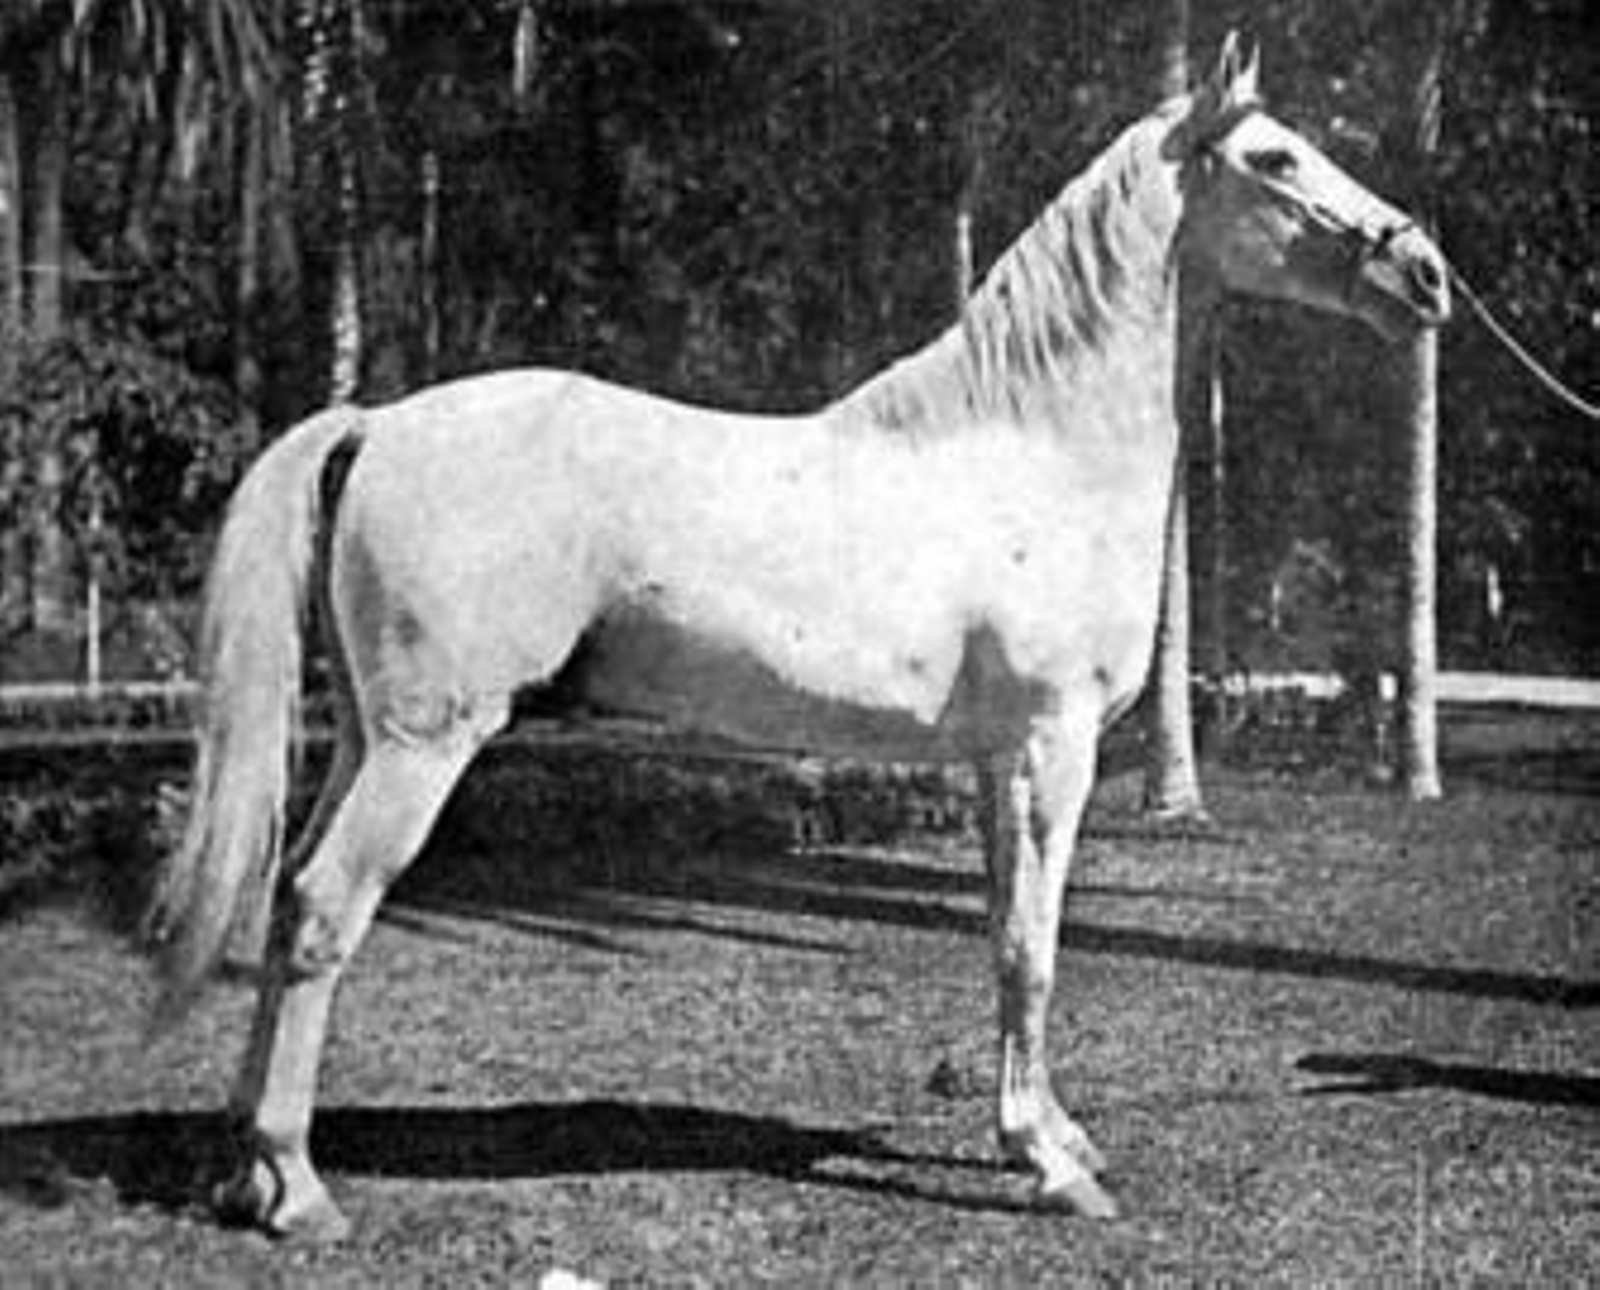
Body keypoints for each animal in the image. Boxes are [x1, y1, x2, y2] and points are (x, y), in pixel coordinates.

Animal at [145, 39, 1449, 1240]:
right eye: (1273, 159)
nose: (1426, 274)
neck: (1035, 449)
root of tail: (376, 423)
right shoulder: (1052, 746)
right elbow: (1035, 948)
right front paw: (1054, 1169)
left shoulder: (995, 760)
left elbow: (999, 936)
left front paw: (1044, 1134)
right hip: (425, 745)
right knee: (324, 908)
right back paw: (299, 1190)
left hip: (366, 740)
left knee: (284, 901)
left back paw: (244, 1175)